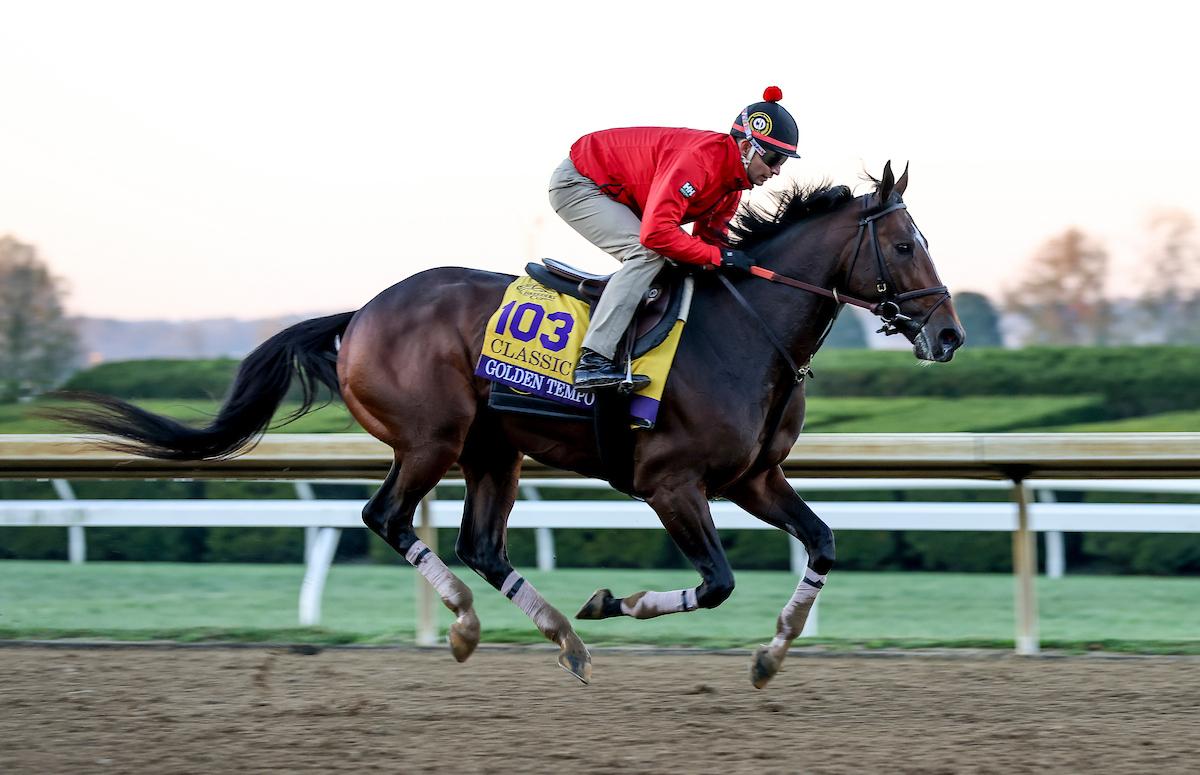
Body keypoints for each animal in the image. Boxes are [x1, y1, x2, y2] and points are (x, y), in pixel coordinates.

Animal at [53, 162, 964, 688]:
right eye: (906, 245)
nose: (949, 335)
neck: (746, 328)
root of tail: (361, 312)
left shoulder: (753, 477)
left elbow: (824, 542)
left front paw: (772, 653)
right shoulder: (670, 482)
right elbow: (715, 582)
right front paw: (616, 599)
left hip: (496, 450)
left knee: (481, 544)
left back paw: (563, 638)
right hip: (431, 438)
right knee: (388, 516)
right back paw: (469, 626)